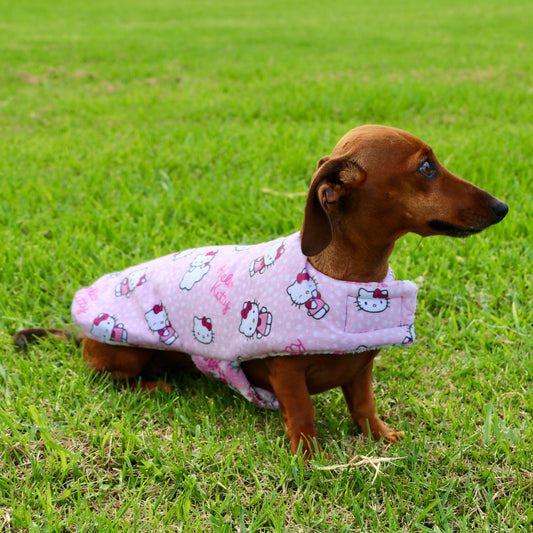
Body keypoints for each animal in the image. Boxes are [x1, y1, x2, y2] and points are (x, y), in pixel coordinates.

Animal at [14, 125, 508, 458]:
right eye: (425, 167)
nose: (502, 207)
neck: (344, 275)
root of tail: (81, 332)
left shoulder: (361, 365)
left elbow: (364, 406)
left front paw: (381, 437)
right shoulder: (286, 373)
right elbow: (303, 412)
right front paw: (309, 458)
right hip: (125, 349)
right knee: (111, 377)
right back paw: (156, 386)